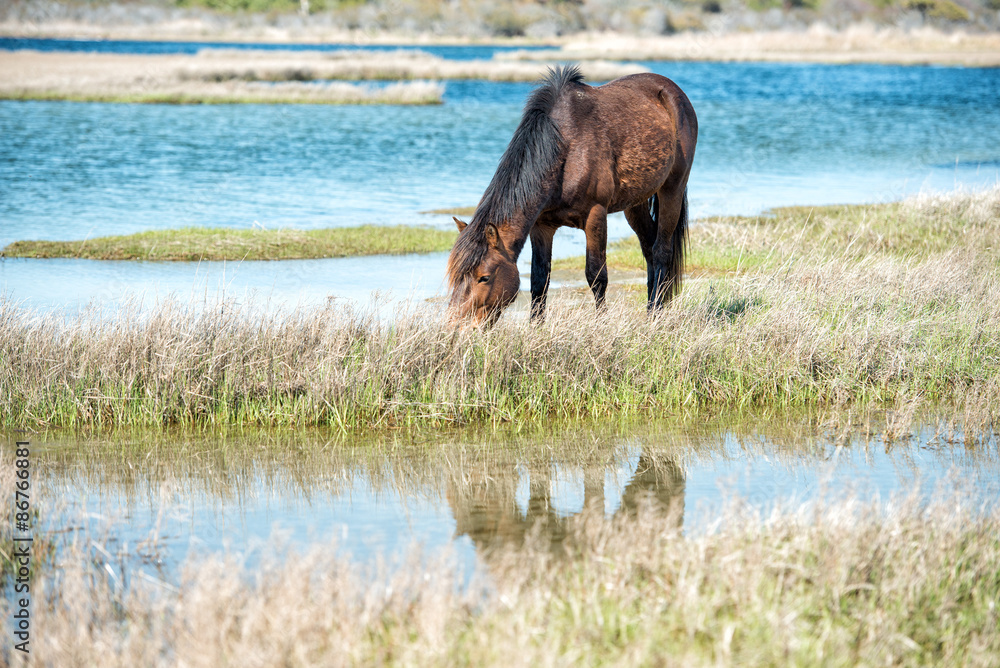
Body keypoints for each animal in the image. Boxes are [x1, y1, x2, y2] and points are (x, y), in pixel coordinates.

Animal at [450, 65, 700, 326]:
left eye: (485, 277)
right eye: (456, 277)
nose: (458, 327)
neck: (564, 151)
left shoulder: (595, 215)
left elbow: (596, 275)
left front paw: (601, 324)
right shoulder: (541, 226)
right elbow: (539, 279)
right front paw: (536, 327)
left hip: (672, 189)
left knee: (662, 251)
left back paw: (655, 314)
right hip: (635, 203)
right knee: (649, 246)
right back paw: (652, 308)